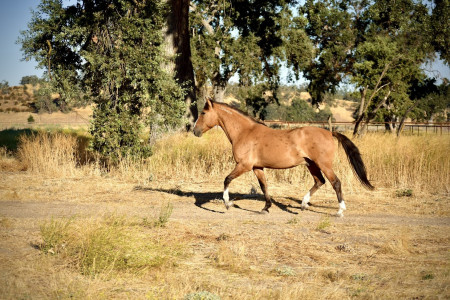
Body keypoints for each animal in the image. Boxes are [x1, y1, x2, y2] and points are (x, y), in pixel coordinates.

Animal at [192, 99, 372, 217]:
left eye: (203, 112)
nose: (195, 131)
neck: (245, 132)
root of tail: (330, 132)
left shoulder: (244, 165)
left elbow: (227, 180)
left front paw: (227, 203)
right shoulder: (257, 168)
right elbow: (264, 186)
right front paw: (265, 208)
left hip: (324, 164)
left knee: (336, 183)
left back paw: (340, 211)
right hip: (311, 164)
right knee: (319, 181)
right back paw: (303, 204)